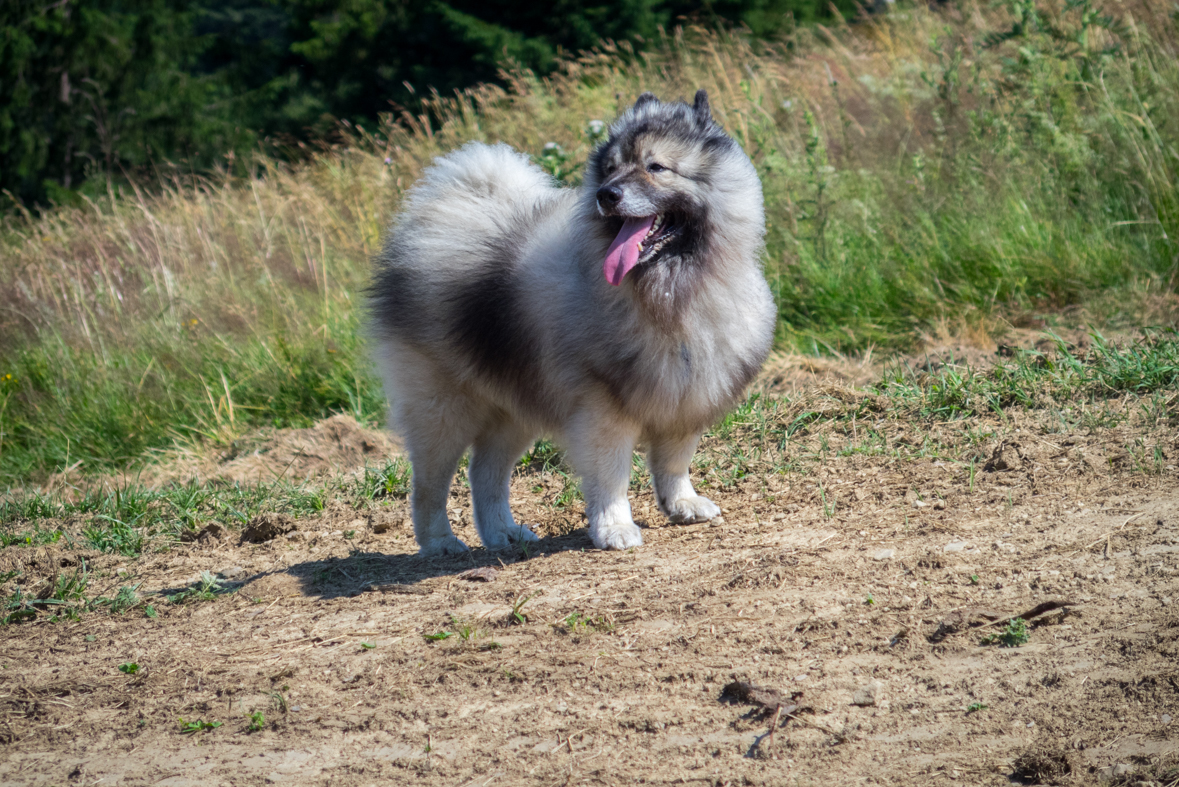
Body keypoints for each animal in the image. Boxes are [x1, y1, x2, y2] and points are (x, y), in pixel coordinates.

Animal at [367, 88, 773, 556]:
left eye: (655, 167)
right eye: (611, 169)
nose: (607, 194)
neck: (670, 286)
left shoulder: (687, 391)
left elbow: (674, 460)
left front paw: (682, 504)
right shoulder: (602, 409)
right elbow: (611, 474)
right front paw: (614, 528)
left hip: (513, 409)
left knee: (485, 472)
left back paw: (503, 533)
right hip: (442, 409)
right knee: (430, 484)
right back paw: (440, 542)